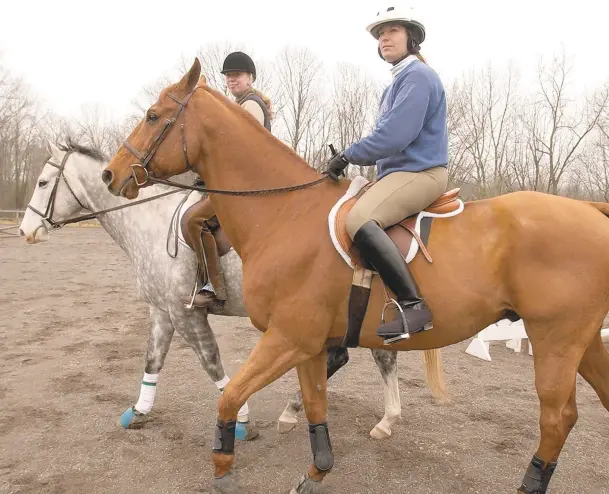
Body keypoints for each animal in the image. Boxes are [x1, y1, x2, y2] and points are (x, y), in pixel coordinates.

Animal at [102, 58, 604, 494]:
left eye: (152, 115)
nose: (111, 174)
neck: (284, 213)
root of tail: (591, 210)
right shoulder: (305, 344)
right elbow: (314, 409)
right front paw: (315, 472)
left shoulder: (285, 337)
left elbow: (228, 396)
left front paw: (224, 469)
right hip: (583, 344)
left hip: (555, 341)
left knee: (557, 418)